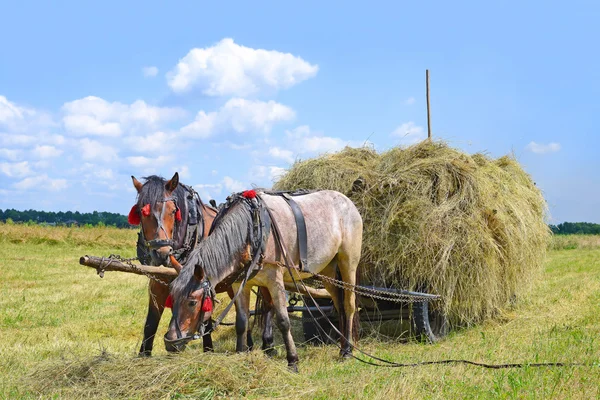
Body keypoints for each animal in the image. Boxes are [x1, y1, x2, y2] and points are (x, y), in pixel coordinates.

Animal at [165, 191, 360, 372]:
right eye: (171, 299)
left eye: (192, 302)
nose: (170, 343)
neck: (252, 231)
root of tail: (347, 200)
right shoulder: (239, 285)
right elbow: (242, 321)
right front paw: (241, 353)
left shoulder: (275, 281)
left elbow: (283, 321)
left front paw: (293, 361)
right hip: (328, 270)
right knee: (339, 306)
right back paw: (343, 344)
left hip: (348, 264)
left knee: (349, 305)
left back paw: (347, 351)